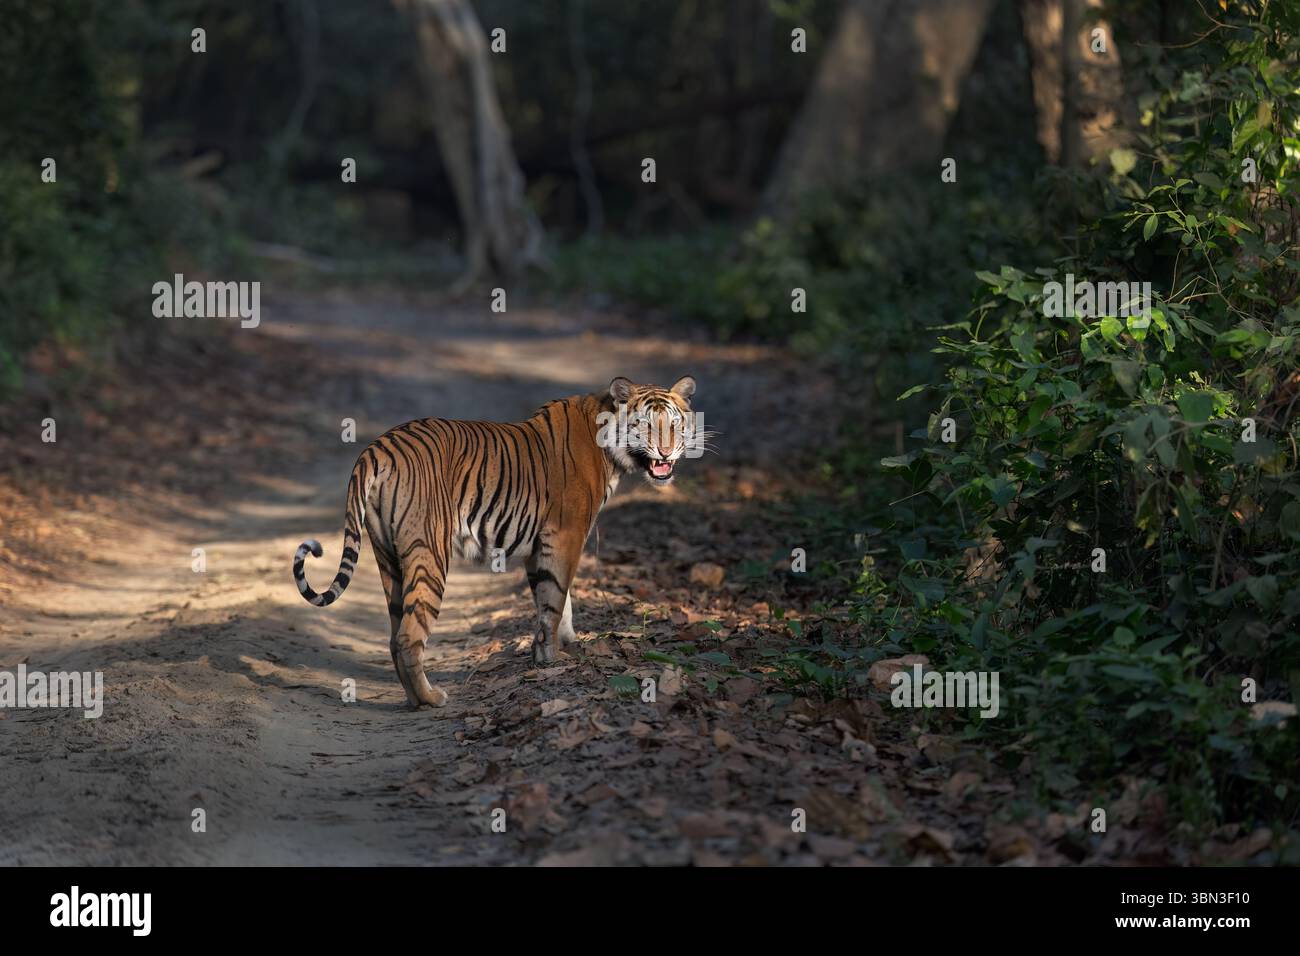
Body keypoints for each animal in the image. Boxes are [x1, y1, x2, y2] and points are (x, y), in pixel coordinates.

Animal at [292, 375, 702, 709]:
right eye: (646, 425)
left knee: (394, 635)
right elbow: (555, 599)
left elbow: (554, 599)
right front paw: (552, 658)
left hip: (388, 557)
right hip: (429, 555)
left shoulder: (539, 546)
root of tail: (377, 447)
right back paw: (430, 699)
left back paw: (413, 698)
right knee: (409, 636)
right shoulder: (566, 535)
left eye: (675, 424)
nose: (667, 453)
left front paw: (561, 644)